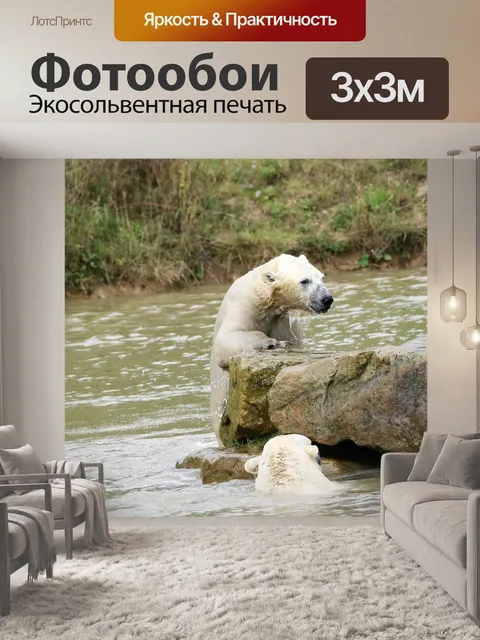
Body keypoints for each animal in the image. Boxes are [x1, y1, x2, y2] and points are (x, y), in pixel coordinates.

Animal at [209, 254, 334, 445]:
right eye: (304, 281)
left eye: (322, 277)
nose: (326, 299)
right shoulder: (243, 305)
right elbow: (226, 339)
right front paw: (270, 342)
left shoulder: (283, 321)